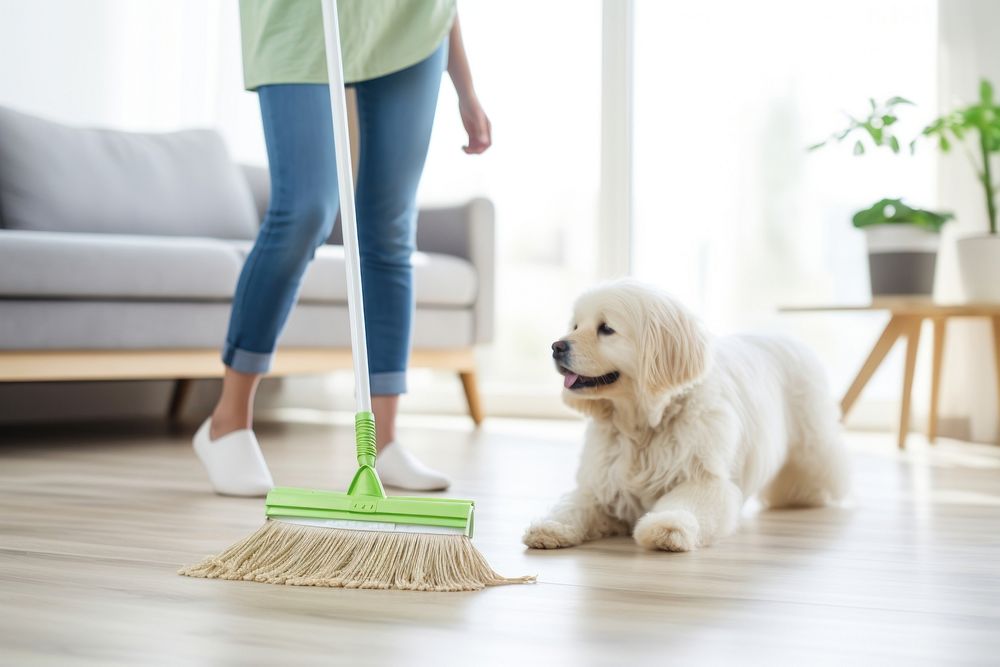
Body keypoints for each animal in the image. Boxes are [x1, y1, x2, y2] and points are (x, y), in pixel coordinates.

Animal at [520, 278, 848, 552]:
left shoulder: (705, 480)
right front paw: (550, 527)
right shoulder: (603, 485)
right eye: (576, 325)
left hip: (812, 442)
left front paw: (667, 528)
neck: (643, 424)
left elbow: (685, 505)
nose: (556, 346)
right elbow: (574, 505)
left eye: (606, 328)